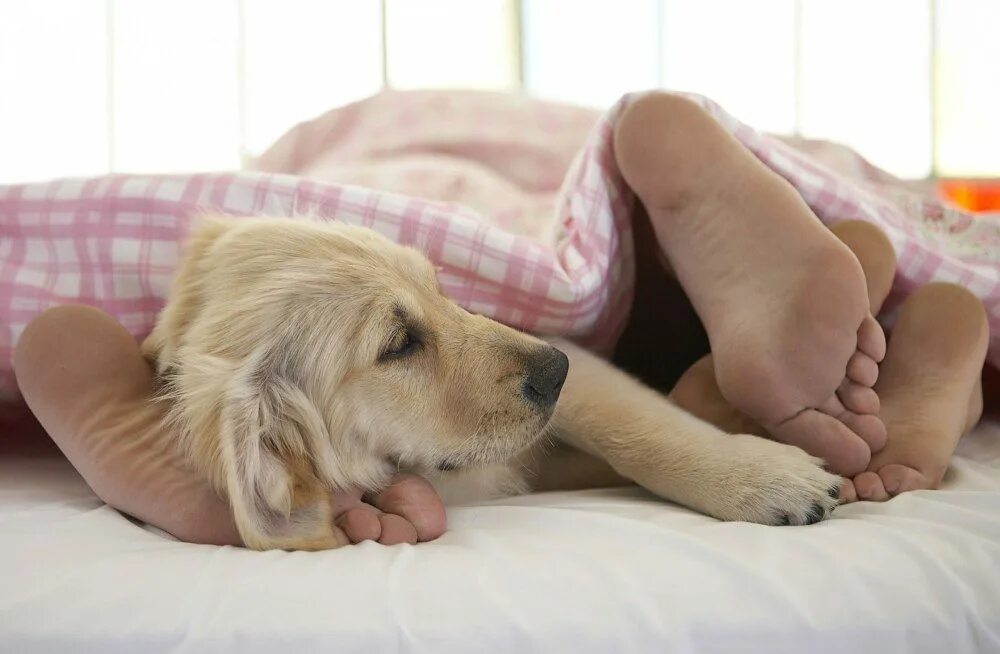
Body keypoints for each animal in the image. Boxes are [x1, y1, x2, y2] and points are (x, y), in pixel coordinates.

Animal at [145, 218, 840, 552]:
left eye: (440, 287)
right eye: (398, 344)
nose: (555, 369)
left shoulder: (578, 362)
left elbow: (636, 427)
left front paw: (759, 476)